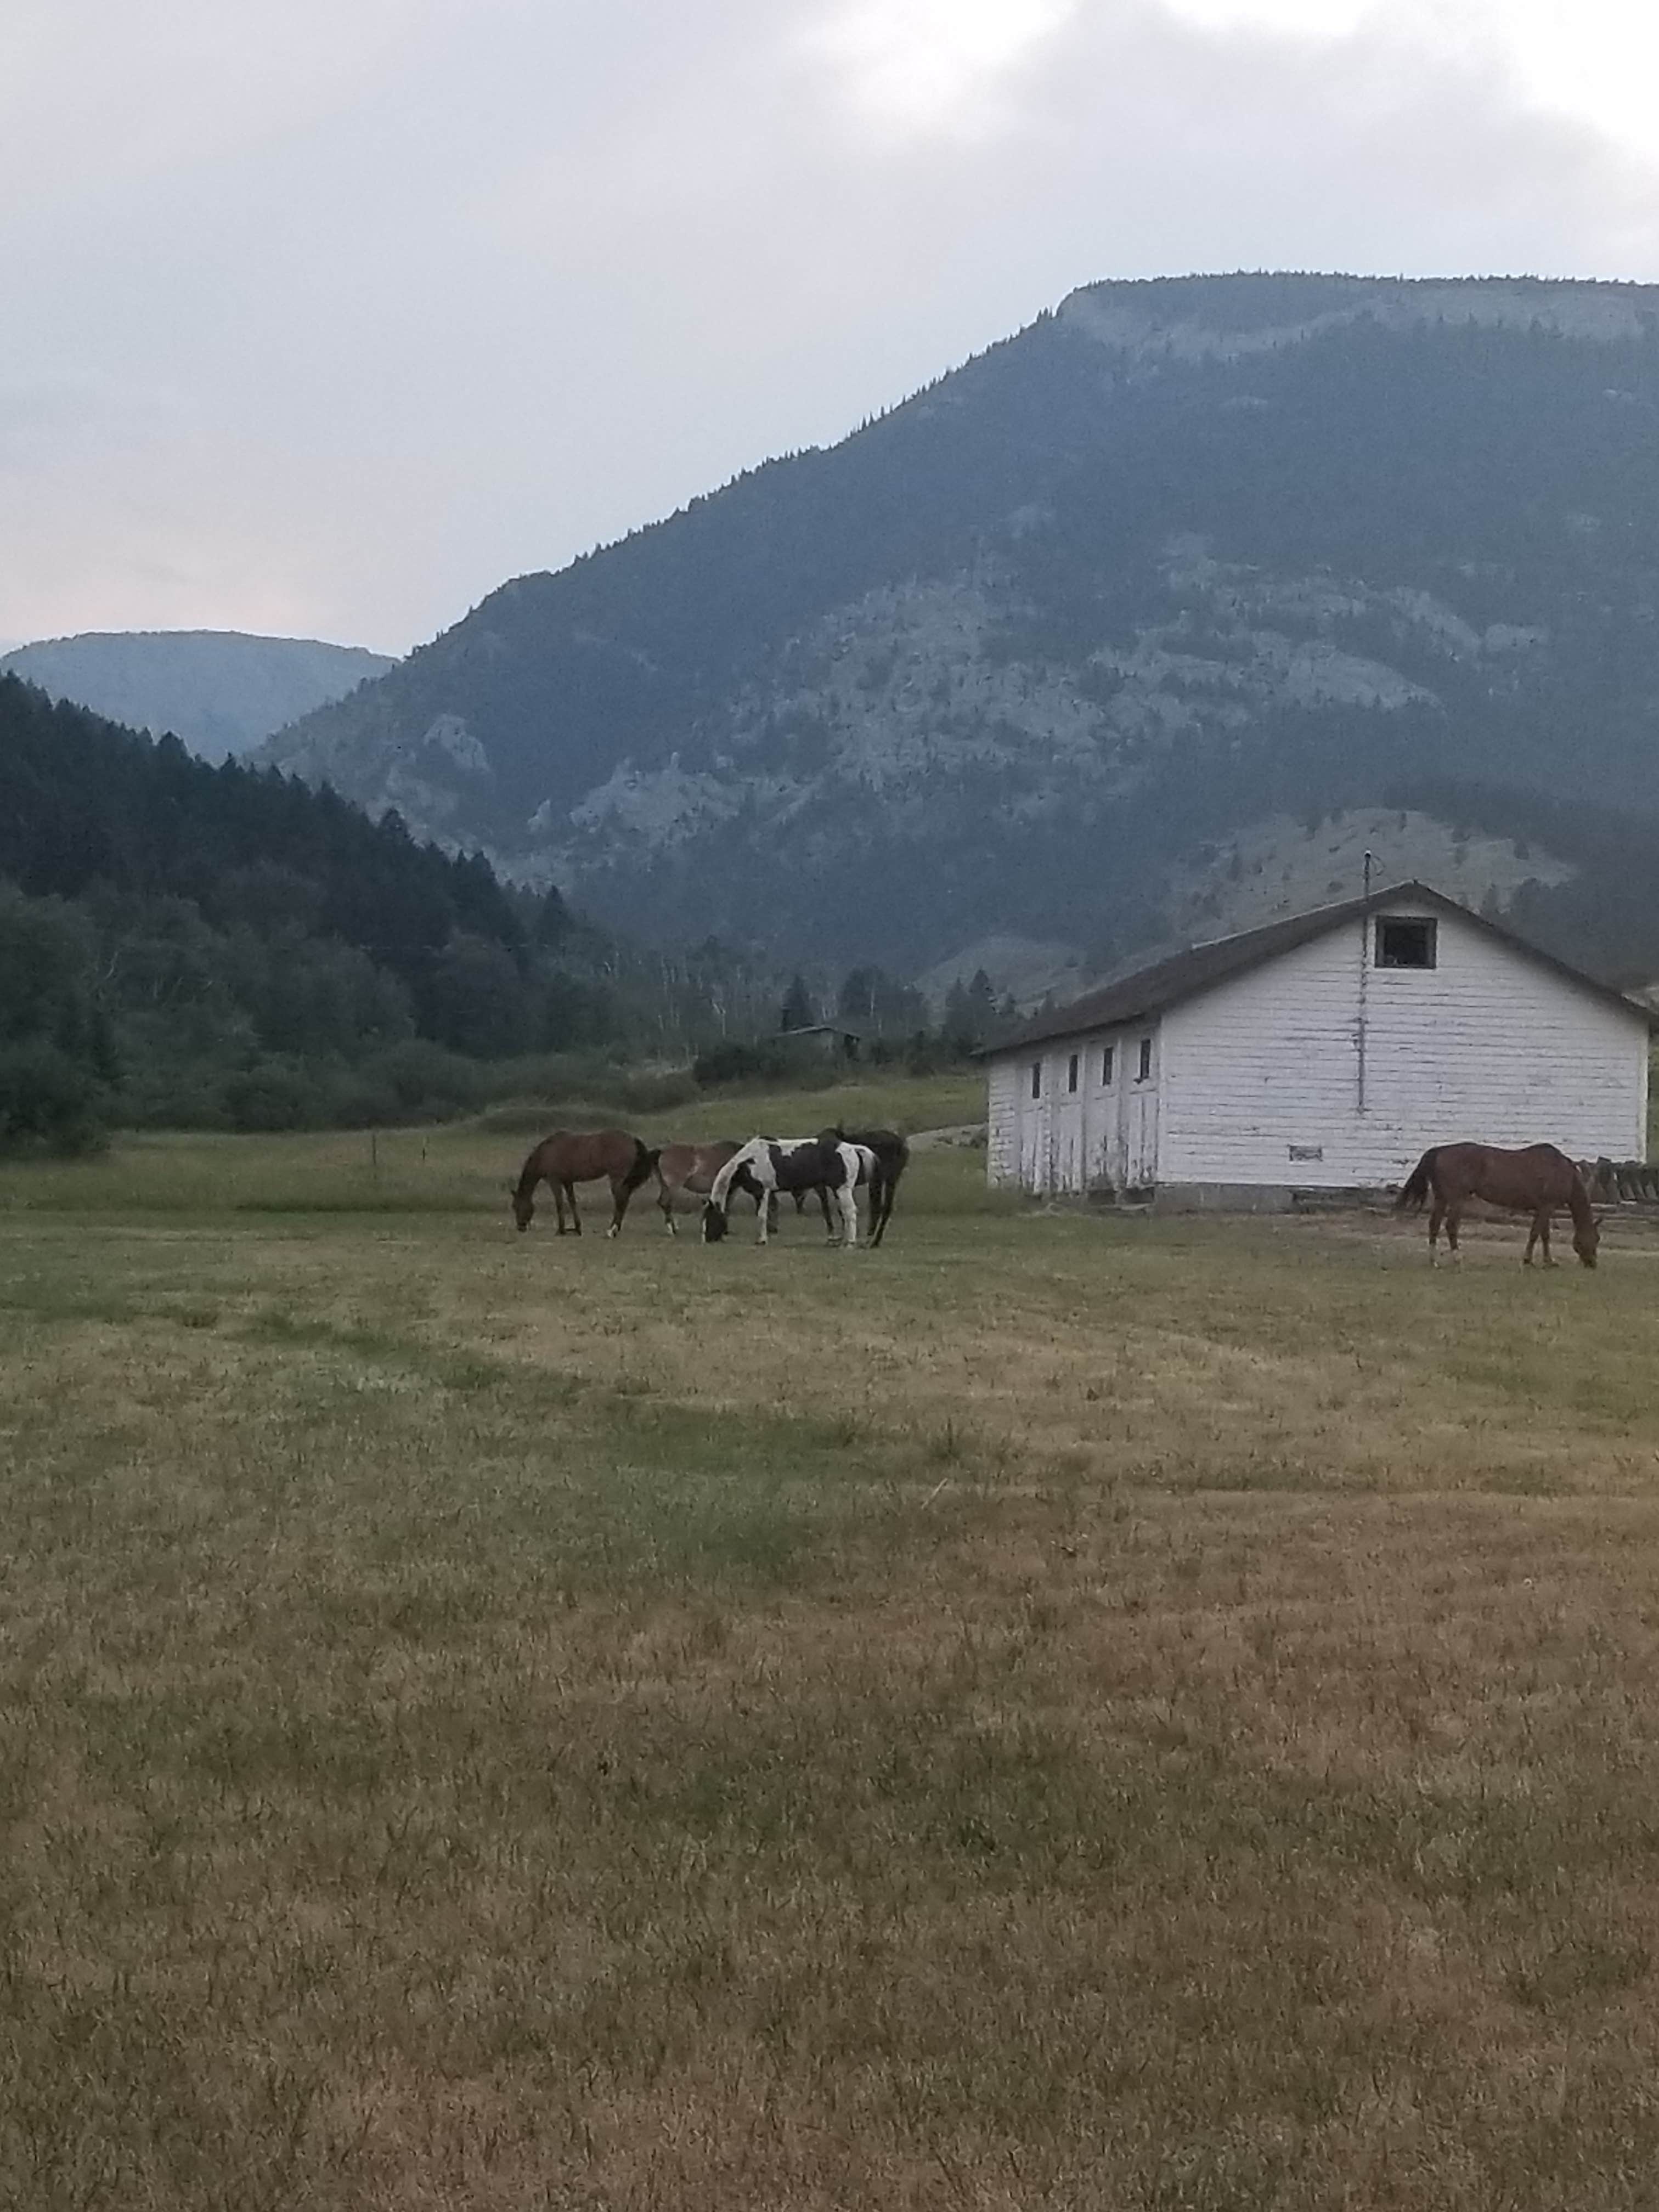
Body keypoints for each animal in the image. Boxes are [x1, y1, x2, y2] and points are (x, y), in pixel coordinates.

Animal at [510, 1128, 654, 1237]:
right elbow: (572, 1202)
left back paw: (612, 1229)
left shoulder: (555, 1181)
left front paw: (561, 1230)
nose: (520, 1227)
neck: (546, 1154)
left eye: (517, 1206)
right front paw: (577, 1229)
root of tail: (632, 1139)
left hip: (617, 1177)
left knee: (621, 1200)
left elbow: (559, 1204)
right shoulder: (567, 1182)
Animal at [702, 1136, 862, 1247]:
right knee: (844, 1214)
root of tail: (852, 1148)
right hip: (837, 1190)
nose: (706, 1240)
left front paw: (762, 1241)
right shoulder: (758, 1193)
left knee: (850, 1212)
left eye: (710, 1219)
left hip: (842, 1190)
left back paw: (850, 1243)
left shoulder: (763, 1192)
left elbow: (761, 1216)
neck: (749, 1161)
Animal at [1396, 1142, 1600, 1268]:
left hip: (1441, 1198)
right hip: (1457, 1199)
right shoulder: (1547, 1207)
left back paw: (1434, 1261)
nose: (1592, 1264)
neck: (1562, 1171)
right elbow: (1537, 1234)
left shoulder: (1543, 1208)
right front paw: (1529, 1260)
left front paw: (1548, 1262)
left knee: (1434, 1225)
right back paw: (1458, 1259)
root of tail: (1439, 1151)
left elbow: (1544, 1235)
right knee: (1451, 1226)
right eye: (1596, 1239)